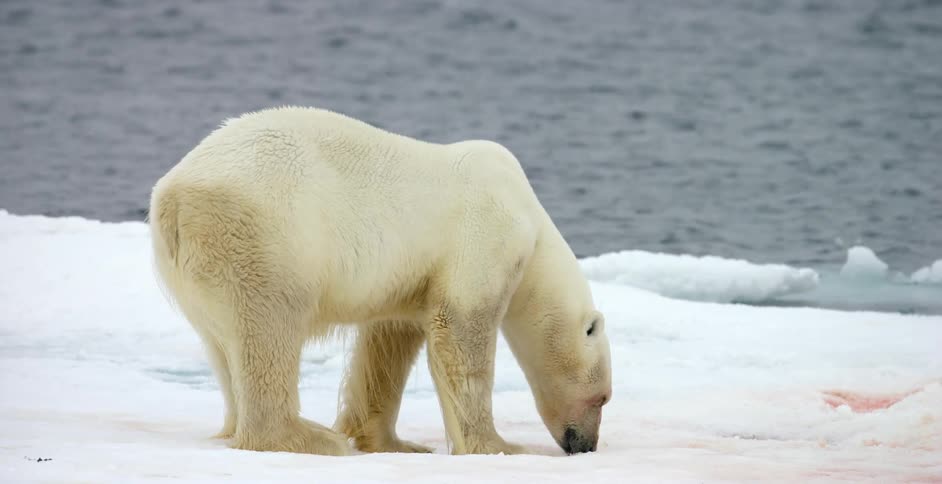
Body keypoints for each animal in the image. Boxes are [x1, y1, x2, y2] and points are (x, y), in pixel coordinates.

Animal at [148, 106, 612, 456]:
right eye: (601, 397)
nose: (584, 445)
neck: (533, 225)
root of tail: (171, 195)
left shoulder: (410, 278)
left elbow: (387, 343)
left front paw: (392, 442)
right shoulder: (484, 236)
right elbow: (462, 333)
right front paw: (499, 446)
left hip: (198, 267)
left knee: (221, 345)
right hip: (263, 233)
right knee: (268, 327)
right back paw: (307, 437)